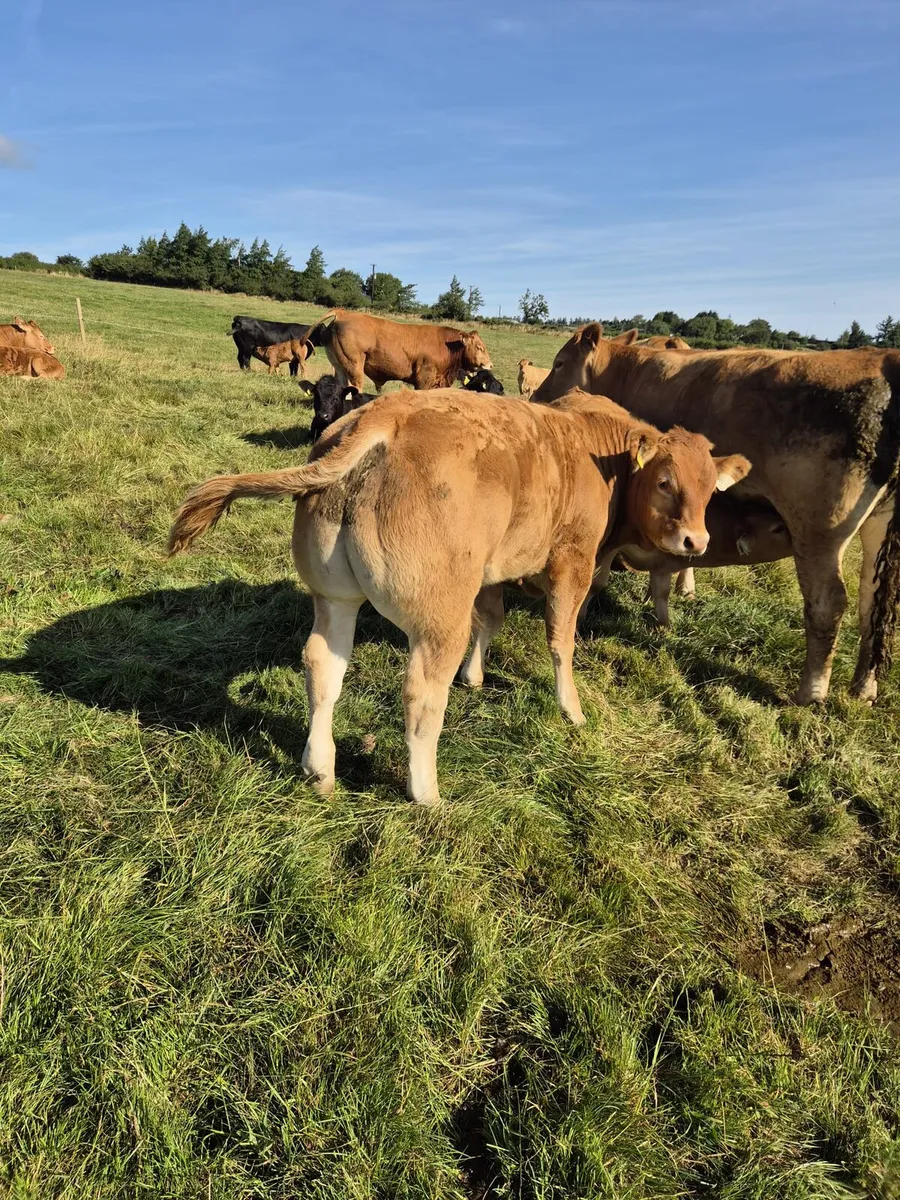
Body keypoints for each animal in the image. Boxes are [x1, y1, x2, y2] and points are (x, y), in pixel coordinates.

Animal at [168, 388, 750, 805]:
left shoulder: (492, 569)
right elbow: (561, 639)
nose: (696, 542)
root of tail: (383, 415)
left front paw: (475, 675)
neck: (596, 452)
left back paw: (321, 767)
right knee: (422, 691)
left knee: (322, 666)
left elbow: (490, 619)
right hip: (438, 618)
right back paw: (426, 793)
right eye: (665, 481)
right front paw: (572, 708)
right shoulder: (572, 561)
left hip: (335, 599)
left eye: (710, 489)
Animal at [305, 309, 492, 391]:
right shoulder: (424, 379)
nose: (490, 365)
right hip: (354, 366)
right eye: (479, 347)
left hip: (340, 366)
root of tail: (343, 313)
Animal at [531, 324, 900, 704]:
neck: (630, 373)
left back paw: (810, 691)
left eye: (559, 363)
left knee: (828, 603)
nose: (536, 400)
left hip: (818, 533)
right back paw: (864, 686)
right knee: (871, 602)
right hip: (876, 527)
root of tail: (884, 359)